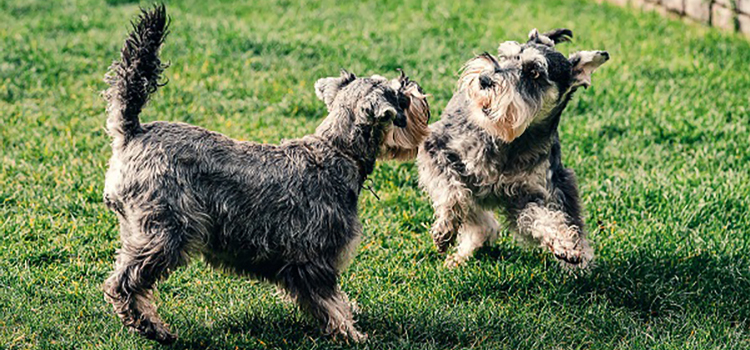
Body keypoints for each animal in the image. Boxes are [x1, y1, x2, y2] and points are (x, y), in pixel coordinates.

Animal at [101, 4, 428, 344]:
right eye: (398, 94)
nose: (415, 86)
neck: (338, 151)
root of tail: (133, 132)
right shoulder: (315, 259)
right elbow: (329, 301)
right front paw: (351, 334)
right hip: (165, 234)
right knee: (124, 283)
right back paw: (153, 327)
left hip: (139, 231)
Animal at [418, 28, 612, 270]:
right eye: (505, 56)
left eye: (534, 72)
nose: (484, 79)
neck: (509, 141)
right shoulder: (436, 148)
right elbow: (452, 192)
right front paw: (445, 229)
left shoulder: (529, 195)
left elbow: (543, 217)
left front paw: (566, 244)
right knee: (475, 214)